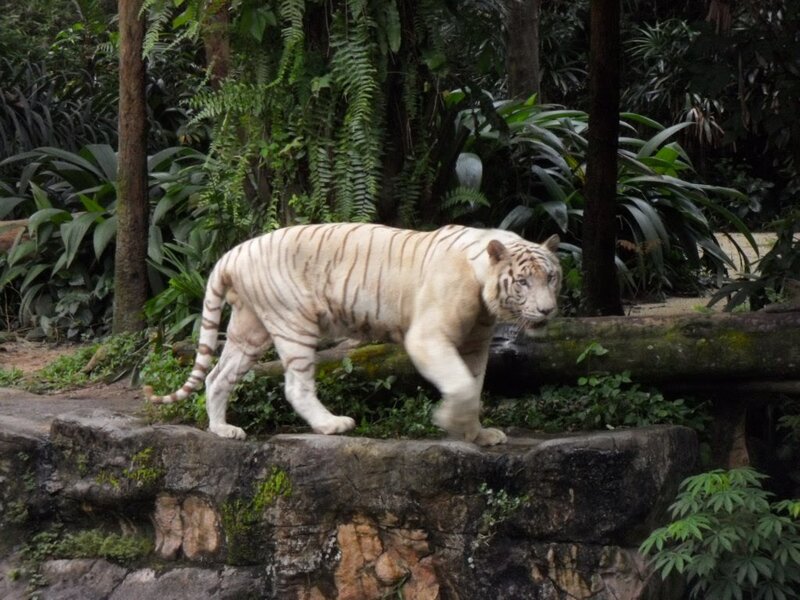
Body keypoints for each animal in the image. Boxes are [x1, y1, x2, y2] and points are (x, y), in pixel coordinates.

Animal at [145, 223, 562, 446]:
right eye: (523, 282)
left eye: (552, 277)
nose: (547, 310)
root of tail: (232, 254)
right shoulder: (428, 337)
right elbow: (459, 386)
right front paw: (447, 420)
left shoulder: (476, 344)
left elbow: (472, 388)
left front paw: (477, 434)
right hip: (294, 321)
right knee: (295, 386)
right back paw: (331, 424)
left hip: (250, 331)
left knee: (217, 377)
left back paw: (223, 429)